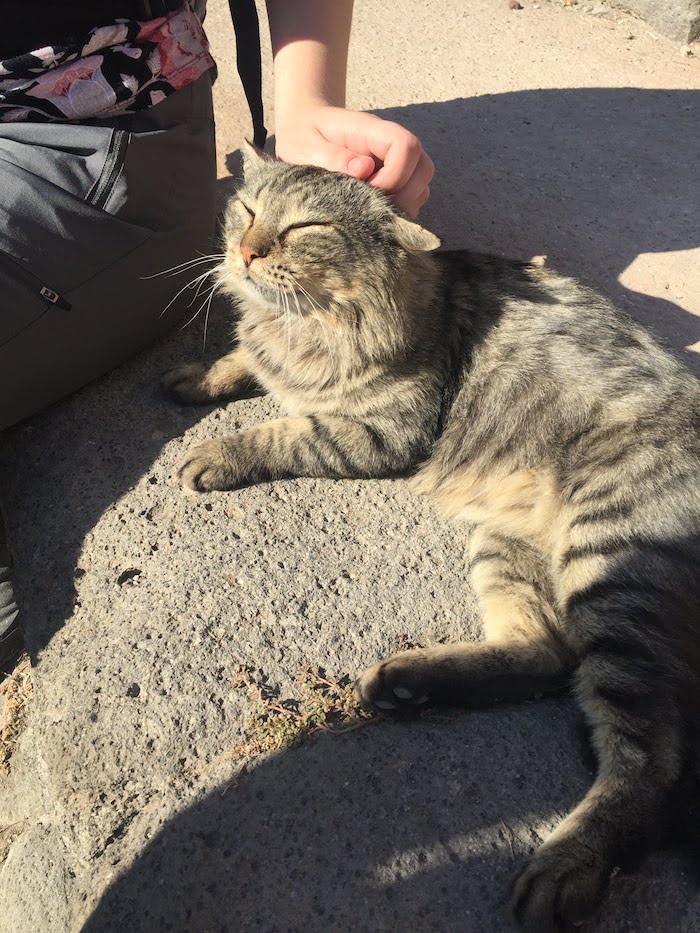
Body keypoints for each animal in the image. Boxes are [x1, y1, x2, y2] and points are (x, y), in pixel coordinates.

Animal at [163, 142, 700, 928]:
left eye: (305, 228)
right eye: (249, 211)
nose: (245, 251)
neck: (308, 324)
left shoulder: (381, 432)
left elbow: (283, 429)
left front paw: (218, 450)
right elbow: (241, 363)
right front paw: (205, 374)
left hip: (609, 562)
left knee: (648, 765)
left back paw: (565, 866)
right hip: (505, 545)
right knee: (545, 655)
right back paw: (408, 682)